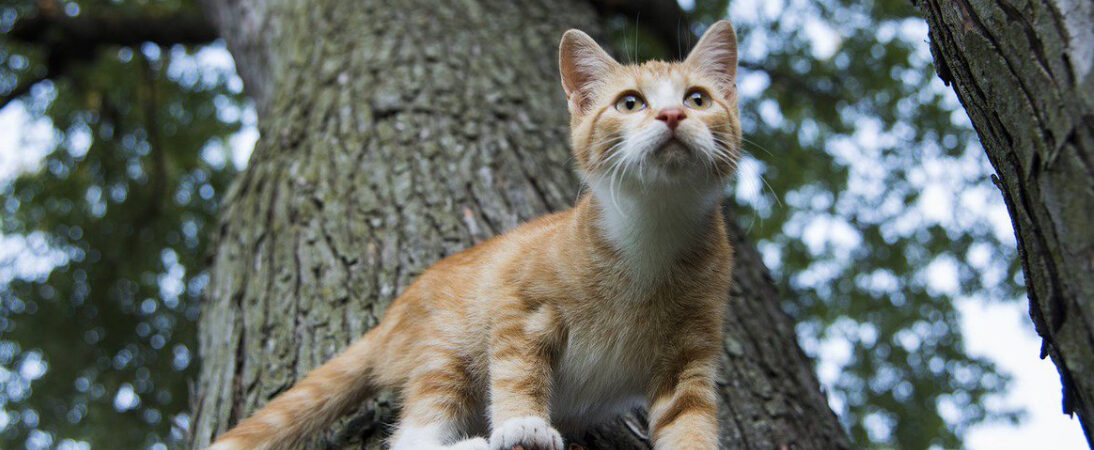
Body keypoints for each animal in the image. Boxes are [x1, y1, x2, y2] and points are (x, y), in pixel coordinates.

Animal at [206, 20, 743, 450]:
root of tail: (388, 320)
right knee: (412, 435)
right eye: (630, 103)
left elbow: (689, 420)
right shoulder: (518, 303)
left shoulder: (689, 359)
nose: (672, 115)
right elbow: (517, 371)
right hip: (446, 350)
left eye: (697, 99)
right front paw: (524, 423)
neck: (651, 233)